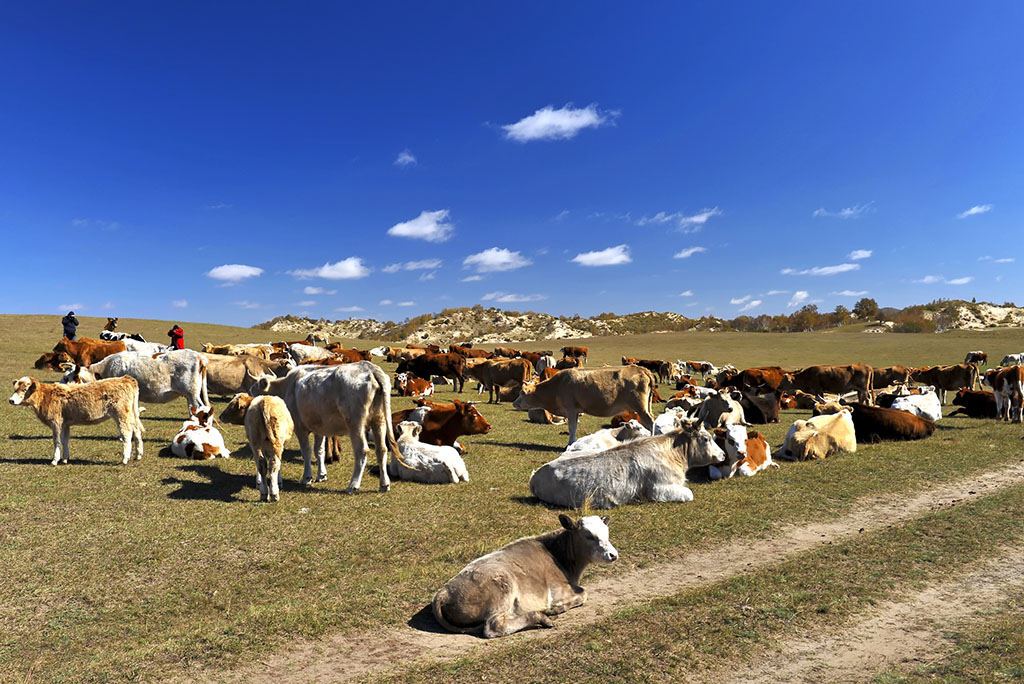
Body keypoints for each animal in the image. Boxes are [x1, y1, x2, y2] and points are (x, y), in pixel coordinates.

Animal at [8, 374, 142, 464]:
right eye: (15, 389)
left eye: (25, 390)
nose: (11, 400)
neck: (46, 396)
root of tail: (125, 378)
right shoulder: (65, 424)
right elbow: (65, 440)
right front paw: (65, 458)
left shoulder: (56, 422)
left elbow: (57, 441)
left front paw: (55, 460)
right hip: (131, 416)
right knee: (136, 431)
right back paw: (138, 455)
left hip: (121, 415)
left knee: (127, 434)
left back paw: (125, 458)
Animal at [249, 362, 401, 491]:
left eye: (255, 387)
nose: (250, 397)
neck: (287, 386)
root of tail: (371, 369)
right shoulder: (319, 428)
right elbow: (319, 450)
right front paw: (321, 474)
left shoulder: (300, 428)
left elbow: (307, 451)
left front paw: (307, 477)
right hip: (379, 421)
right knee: (382, 450)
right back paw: (384, 484)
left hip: (356, 424)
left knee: (362, 451)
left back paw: (353, 484)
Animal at [509, 366, 655, 446]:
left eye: (522, 393)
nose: (514, 403)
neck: (556, 387)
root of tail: (641, 369)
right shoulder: (576, 411)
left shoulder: (571, 409)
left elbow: (572, 427)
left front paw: (570, 443)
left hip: (640, 407)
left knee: (650, 422)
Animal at [528, 423, 729, 509]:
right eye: (706, 438)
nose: (723, 455)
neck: (672, 454)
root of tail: (536, 475)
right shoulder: (658, 488)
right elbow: (689, 493)